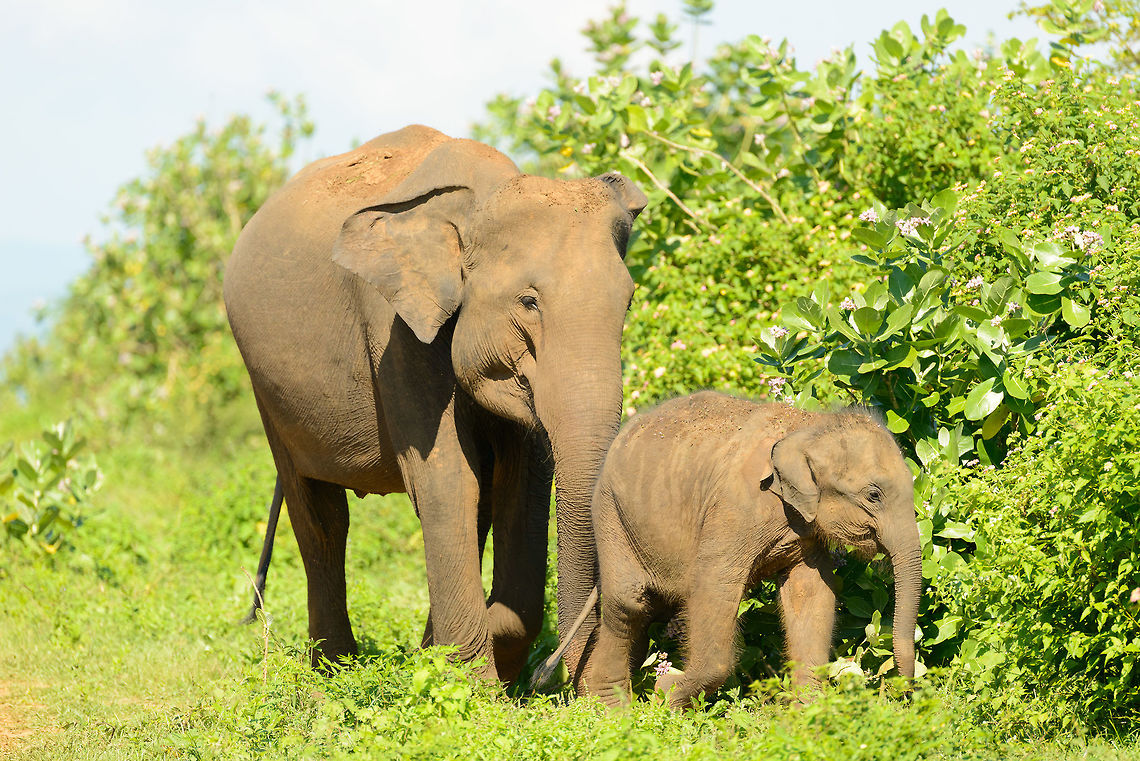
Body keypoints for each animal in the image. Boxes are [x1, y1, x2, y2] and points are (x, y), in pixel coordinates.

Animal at [223, 124, 646, 686]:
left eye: (627, 302)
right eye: (528, 302)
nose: (556, 680)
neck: (477, 200)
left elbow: (521, 483)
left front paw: (472, 656)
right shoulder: (393, 327)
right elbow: (446, 478)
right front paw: (472, 687)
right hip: (265, 384)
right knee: (319, 514)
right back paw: (333, 672)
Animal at [536, 390, 921, 708]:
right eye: (874, 495)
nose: (903, 691)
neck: (807, 425)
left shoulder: (803, 527)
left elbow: (810, 592)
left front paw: (807, 718)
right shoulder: (733, 510)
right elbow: (712, 586)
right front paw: (665, 694)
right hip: (609, 514)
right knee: (630, 600)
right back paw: (614, 712)